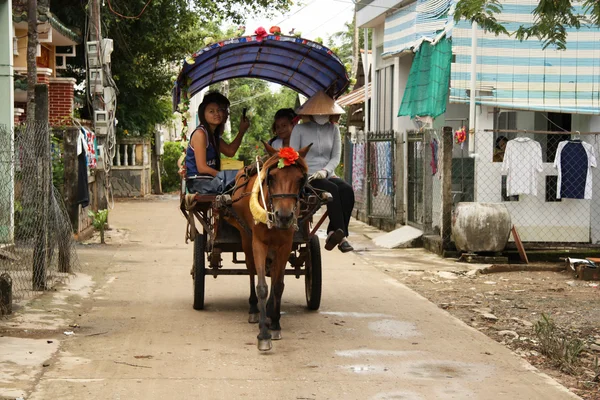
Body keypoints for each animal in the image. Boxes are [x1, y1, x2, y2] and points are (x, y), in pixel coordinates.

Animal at [224, 141, 310, 350]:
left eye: (300, 179)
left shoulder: (285, 246)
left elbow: (278, 285)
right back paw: (254, 309)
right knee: (251, 271)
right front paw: (263, 334)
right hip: (246, 240)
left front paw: (275, 323)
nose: (284, 216)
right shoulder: (258, 244)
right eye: (271, 177)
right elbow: (262, 286)